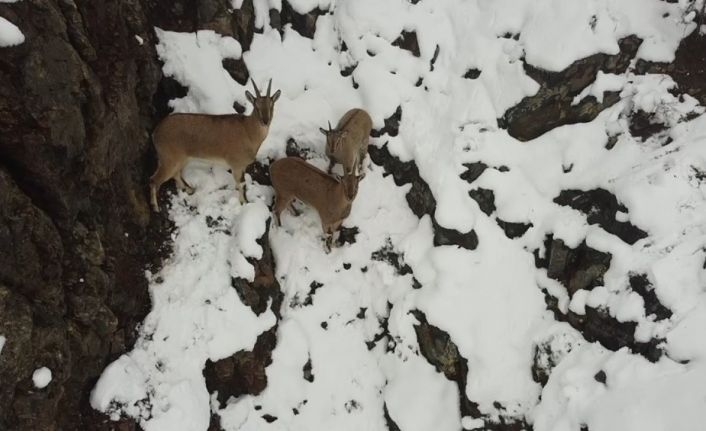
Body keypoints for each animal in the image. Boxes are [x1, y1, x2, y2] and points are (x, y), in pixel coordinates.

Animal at [149, 79, 280, 213]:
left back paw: (190, 189)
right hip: (169, 159)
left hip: (179, 159)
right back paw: (156, 207)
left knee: (175, 174)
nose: (265, 121)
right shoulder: (236, 165)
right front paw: (244, 203)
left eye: (271, 105)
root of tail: (156, 132)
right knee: (154, 180)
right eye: (256, 106)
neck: (248, 130)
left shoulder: (242, 166)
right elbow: (241, 184)